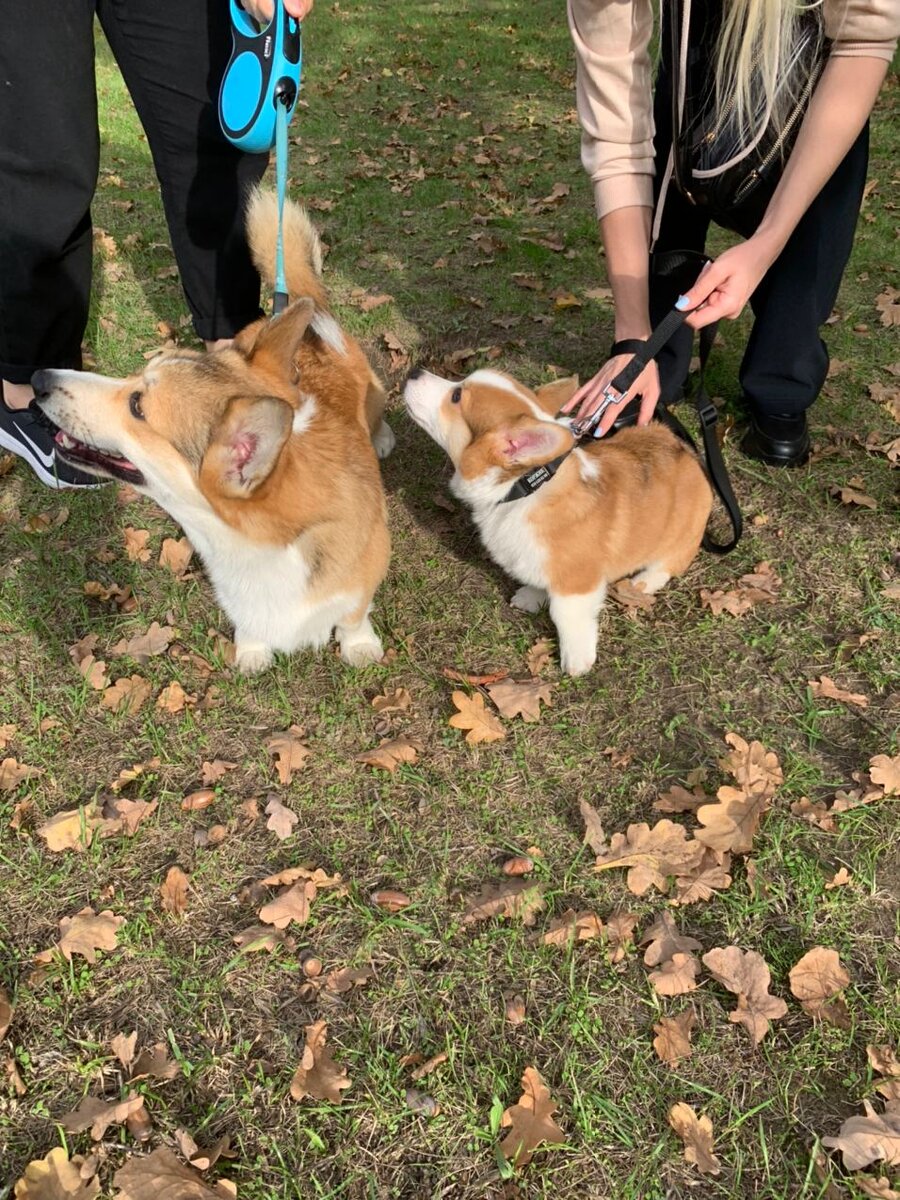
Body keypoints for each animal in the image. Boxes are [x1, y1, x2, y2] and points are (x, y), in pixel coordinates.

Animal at [33, 192, 393, 672]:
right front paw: (253, 649)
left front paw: (359, 645)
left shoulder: (368, 568)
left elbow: (354, 613)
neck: (256, 543)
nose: (38, 379)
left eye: (137, 406)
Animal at [408, 369, 710, 676]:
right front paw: (531, 596)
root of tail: (686, 450)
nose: (414, 371)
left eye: (457, 396)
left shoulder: (579, 582)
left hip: (683, 537)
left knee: (667, 565)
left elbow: (565, 615)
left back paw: (642, 583)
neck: (524, 488)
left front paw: (576, 660)